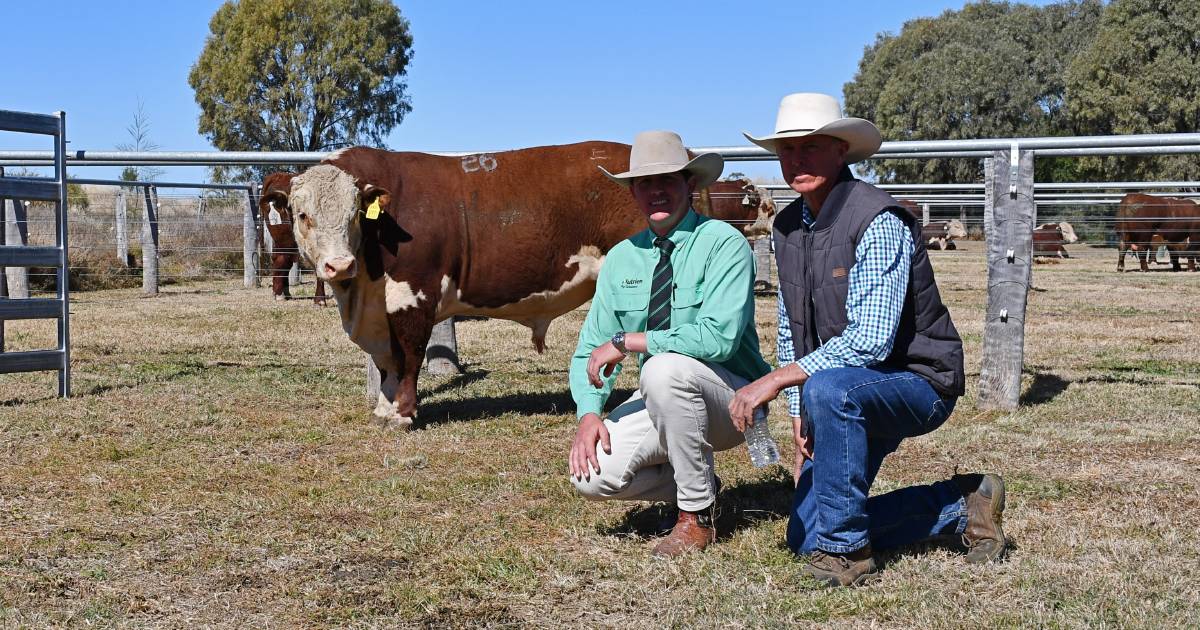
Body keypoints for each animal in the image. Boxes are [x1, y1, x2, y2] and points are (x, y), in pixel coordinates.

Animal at [286, 140, 648, 429]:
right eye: (302, 215)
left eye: (354, 215)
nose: (340, 265)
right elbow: (386, 361)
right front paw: (384, 411)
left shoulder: (413, 292)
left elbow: (409, 353)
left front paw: (402, 413)